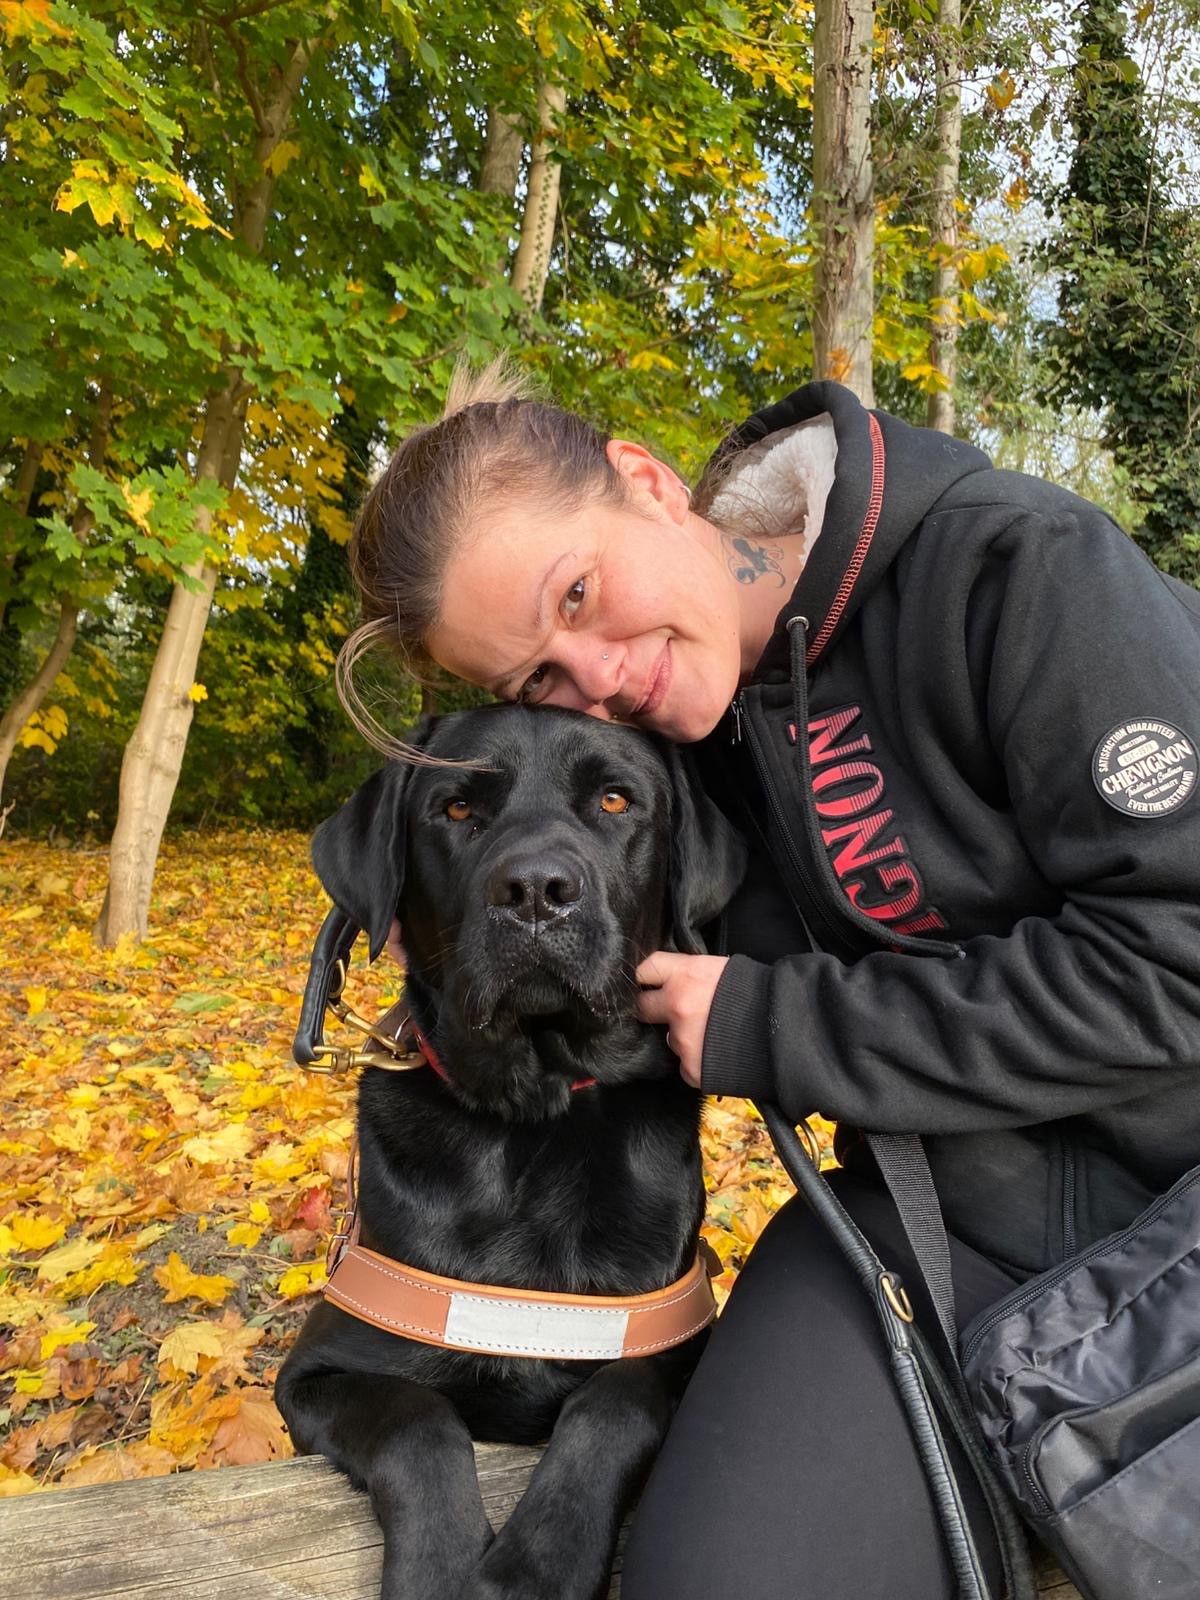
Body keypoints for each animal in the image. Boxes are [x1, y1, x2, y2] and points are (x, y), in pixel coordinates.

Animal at [276, 707, 748, 1600]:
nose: (535, 892)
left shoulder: (681, 1339)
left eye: (614, 800)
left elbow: (614, 1399)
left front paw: (539, 1564)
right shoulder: (318, 1368)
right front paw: (439, 1570)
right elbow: (418, 1418)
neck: (535, 1123)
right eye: (456, 809)